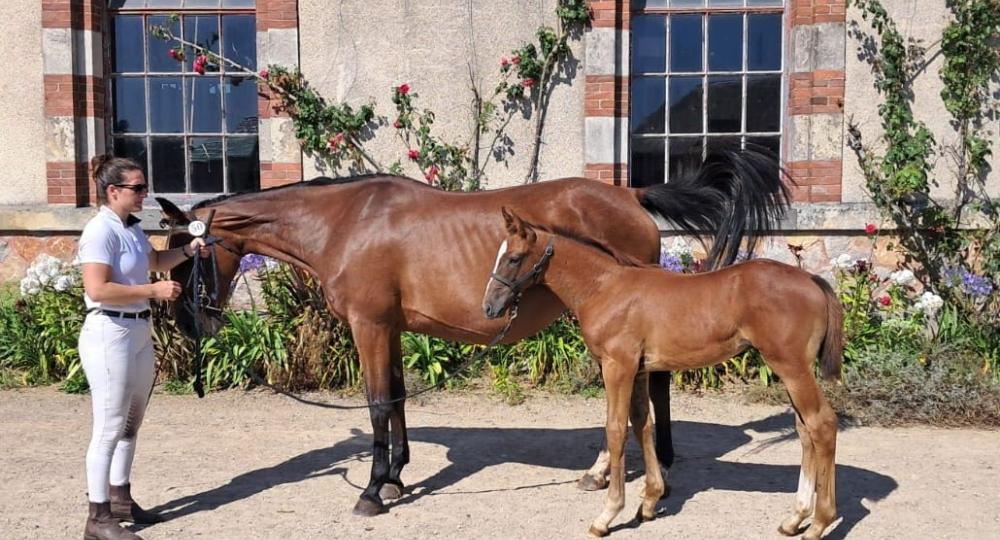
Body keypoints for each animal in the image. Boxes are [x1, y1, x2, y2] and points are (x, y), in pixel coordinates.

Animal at [156, 147, 788, 516]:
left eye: (186, 258)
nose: (190, 320)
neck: (347, 223)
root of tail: (628, 194)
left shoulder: (369, 325)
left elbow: (377, 404)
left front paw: (372, 491)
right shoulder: (391, 328)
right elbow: (398, 398)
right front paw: (396, 478)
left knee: (646, 393)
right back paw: (608, 474)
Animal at [480, 209, 840, 536]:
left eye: (513, 258)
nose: (489, 308)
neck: (604, 288)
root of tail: (811, 279)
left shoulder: (617, 367)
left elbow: (616, 430)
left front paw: (607, 515)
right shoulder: (639, 370)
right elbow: (642, 424)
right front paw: (650, 501)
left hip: (791, 367)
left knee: (822, 424)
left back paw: (819, 522)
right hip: (789, 369)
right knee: (805, 429)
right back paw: (795, 518)